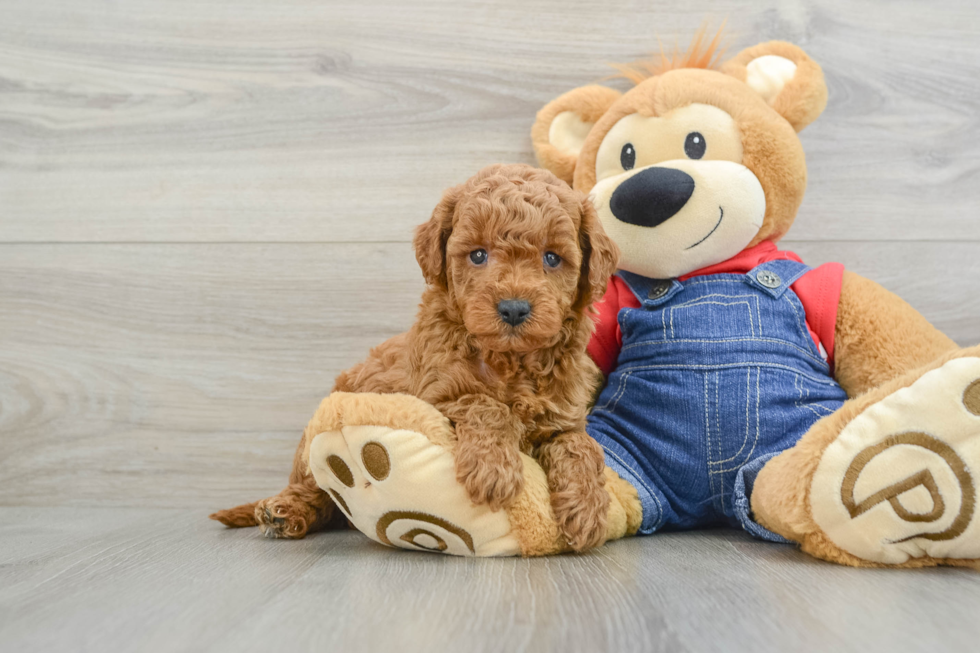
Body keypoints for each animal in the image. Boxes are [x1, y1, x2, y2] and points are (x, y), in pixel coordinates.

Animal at [216, 163, 620, 552]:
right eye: (478, 255)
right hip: (312, 446)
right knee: (315, 490)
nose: (514, 309)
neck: (510, 360)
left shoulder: (563, 417)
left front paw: (587, 509)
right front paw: (493, 471)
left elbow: (581, 445)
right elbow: (485, 404)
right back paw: (284, 511)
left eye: (552, 258)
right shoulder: (432, 397)